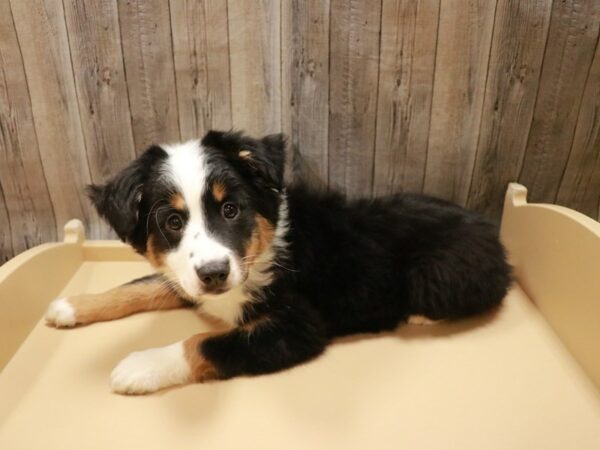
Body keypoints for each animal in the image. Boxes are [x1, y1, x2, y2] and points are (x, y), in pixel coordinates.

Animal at [45, 129, 510, 394]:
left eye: (230, 209)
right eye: (173, 221)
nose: (215, 274)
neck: (262, 251)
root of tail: (497, 237)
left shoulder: (298, 327)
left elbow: (208, 342)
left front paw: (141, 365)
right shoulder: (190, 277)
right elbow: (140, 286)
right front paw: (70, 306)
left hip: (438, 274)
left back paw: (416, 315)